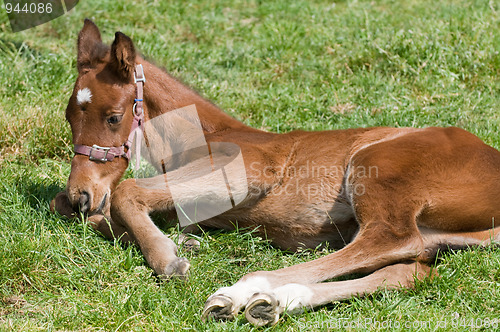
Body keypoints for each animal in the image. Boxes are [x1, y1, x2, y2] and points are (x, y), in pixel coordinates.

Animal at [51, 19, 500, 326]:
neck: (207, 135)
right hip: (441, 237)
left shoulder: (249, 170)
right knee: (409, 270)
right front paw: (180, 240)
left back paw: (242, 292)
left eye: (113, 117)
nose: (82, 193)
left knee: (390, 239)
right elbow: (86, 210)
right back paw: (272, 303)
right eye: (70, 116)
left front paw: (168, 259)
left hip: (379, 167)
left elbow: (128, 191)